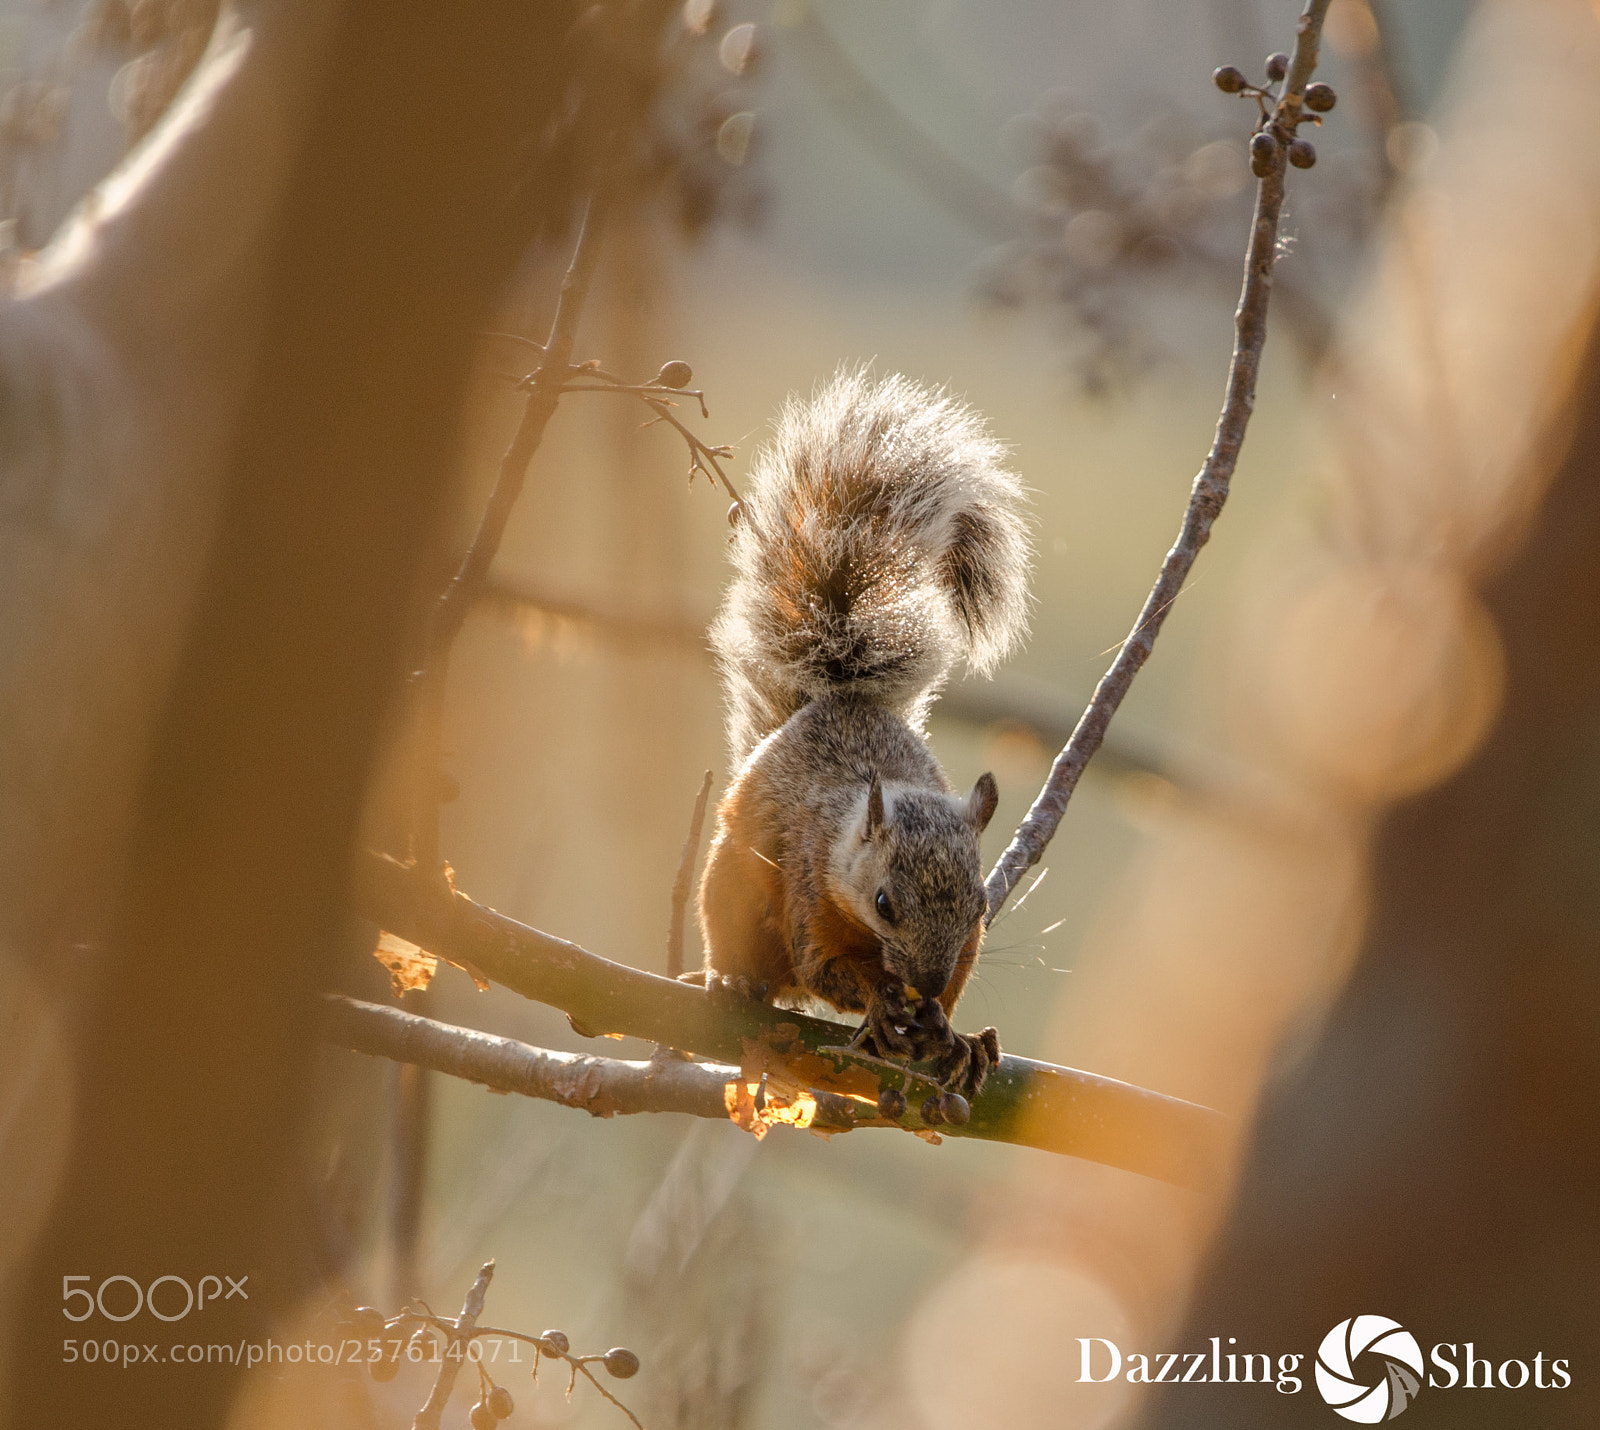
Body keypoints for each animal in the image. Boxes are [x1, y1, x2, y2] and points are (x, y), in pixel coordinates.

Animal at [694, 369, 1031, 1098]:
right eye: (882, 901)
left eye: (981, 903)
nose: (924, 980)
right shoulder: (808, 885)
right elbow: (822, 967)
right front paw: (880, 1003)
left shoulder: (966, 949)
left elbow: (950, 996)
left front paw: (954, 1034)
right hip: (728, 886)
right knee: (764, 959)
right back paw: (732, 981)